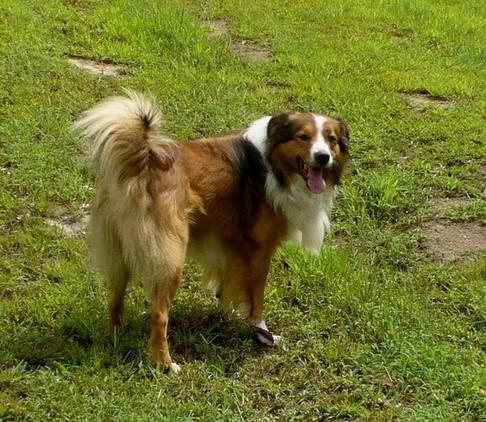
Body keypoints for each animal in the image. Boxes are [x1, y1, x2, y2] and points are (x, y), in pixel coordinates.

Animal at [74, 91, 350, 372]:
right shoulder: (258, 249)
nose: (323, 157)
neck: (274, 164)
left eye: (331, 140)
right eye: (303, 137)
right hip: (170, 257)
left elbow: (229, 286)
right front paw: (264, 333)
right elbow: (256, 297)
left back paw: (116, 340)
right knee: (159, 315)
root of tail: (142, 159)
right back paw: (166, 364)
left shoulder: (230, 246)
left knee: (114, 300)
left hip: (120, 253)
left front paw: (229, 314)